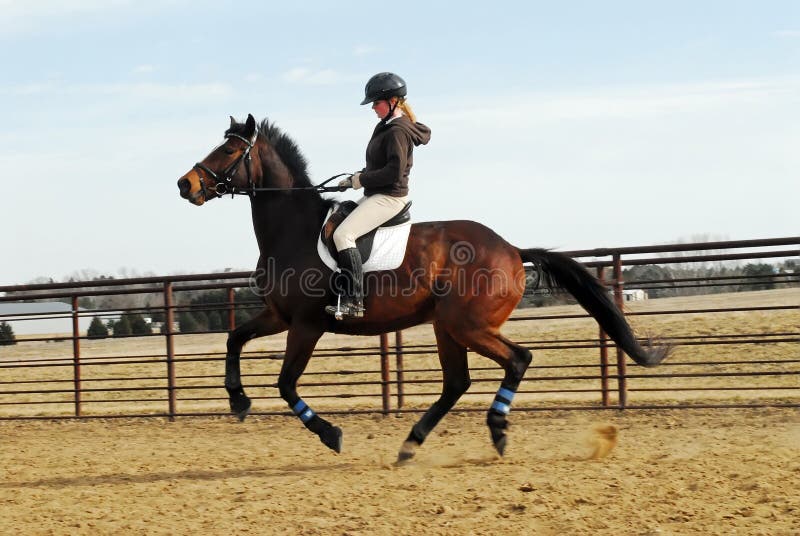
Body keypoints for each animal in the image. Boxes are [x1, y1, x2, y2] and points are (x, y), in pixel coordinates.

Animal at [178, 115, 672, 462]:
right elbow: (234, 338)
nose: (186, 184)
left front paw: (331, 434)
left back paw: (496, 430)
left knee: (517, 359)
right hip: (446, 327)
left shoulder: (306, 324)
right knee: (457, 382)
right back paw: (410, 445)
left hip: (467, 324)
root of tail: (512, 249)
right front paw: (238, 400)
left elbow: (285, 384)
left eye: (228, 148)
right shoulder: (279, 317)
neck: (293, 229)